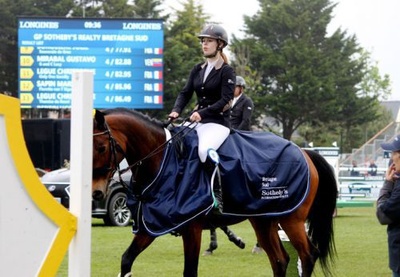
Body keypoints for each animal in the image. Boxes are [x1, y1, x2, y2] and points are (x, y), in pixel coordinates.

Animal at [92, 107, 336, 276]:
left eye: (102, 147)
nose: (96, 193)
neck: (163, 160)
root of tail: (303, 152)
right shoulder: (152, 224)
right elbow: (126, 260)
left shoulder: (191, 227)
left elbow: (190, 271)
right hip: (264, 221)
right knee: (280, 260)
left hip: (291, 220)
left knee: (308, 255)